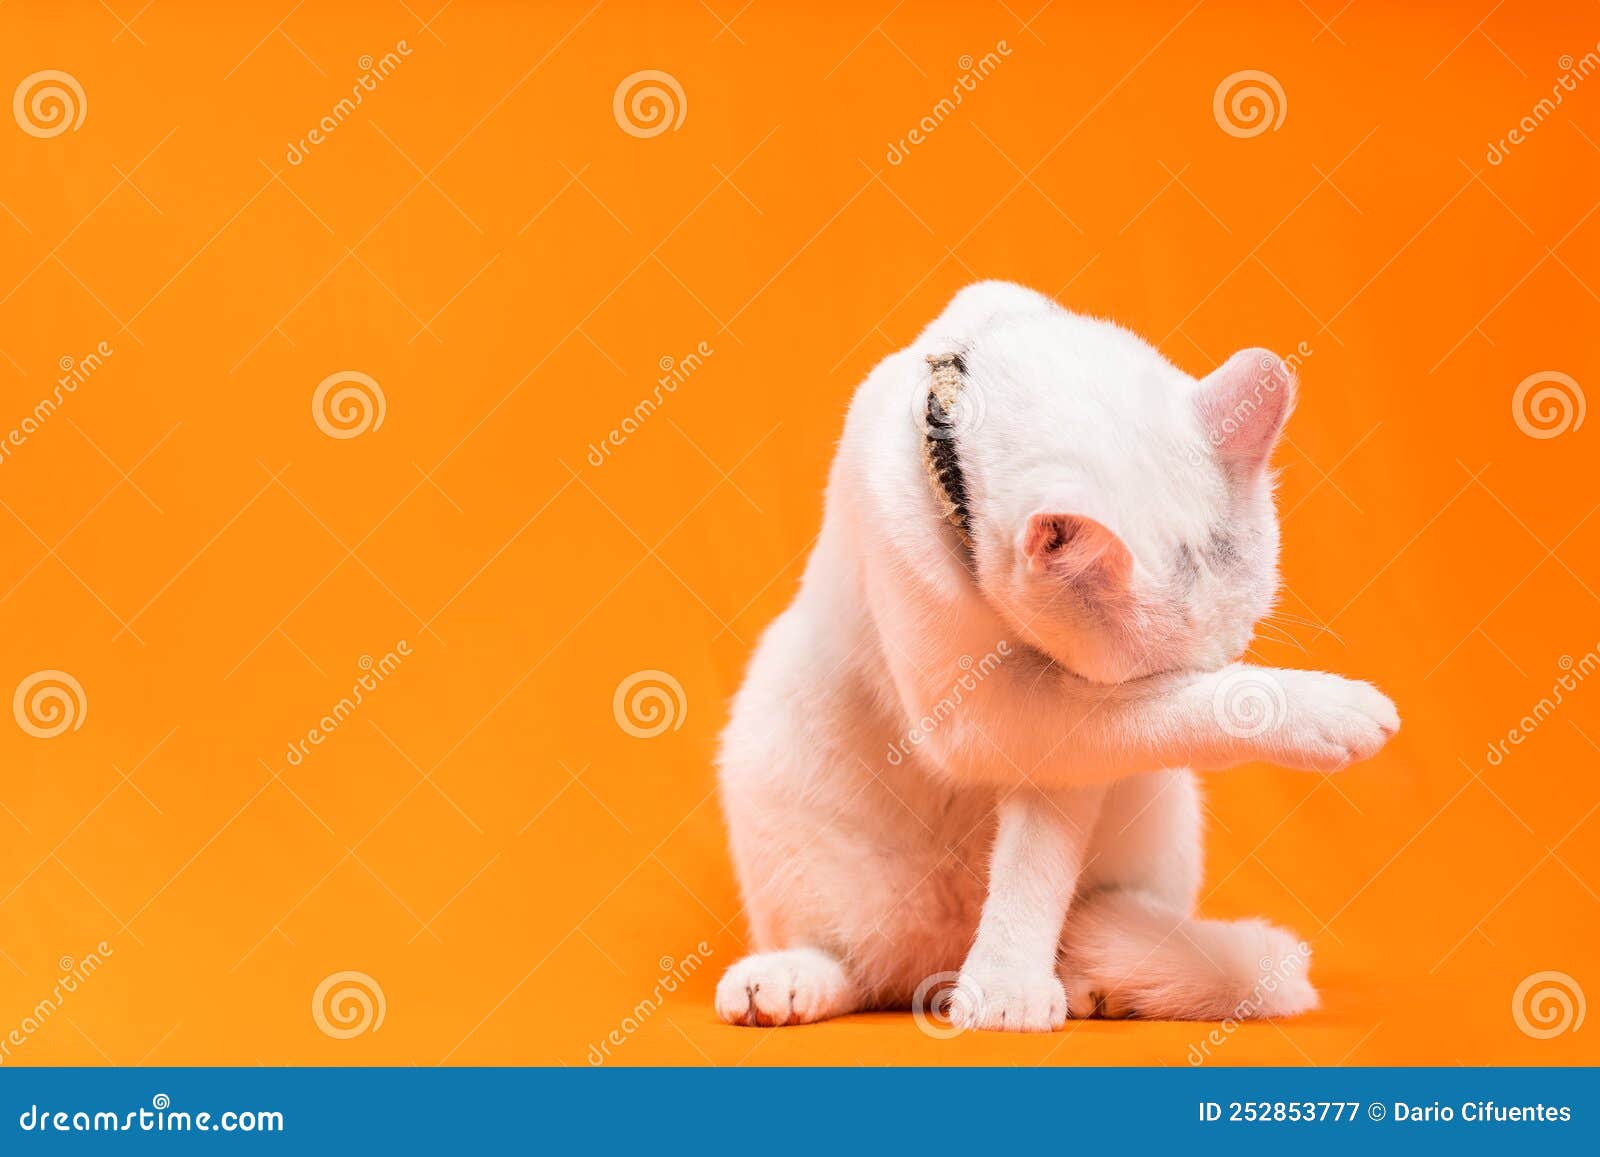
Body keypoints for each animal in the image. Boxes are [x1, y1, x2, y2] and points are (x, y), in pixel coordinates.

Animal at [716, 280, 1401, 1030]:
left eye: (1221, 658)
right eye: (1169, 675)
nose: (1207, 675)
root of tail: (933, 962)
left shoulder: (1057, 751)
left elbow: (1035, 860)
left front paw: (1005, 985)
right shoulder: (980, 717)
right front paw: (1324, 710)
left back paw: (1094, 985)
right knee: (846, 960)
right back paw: (786, 979)